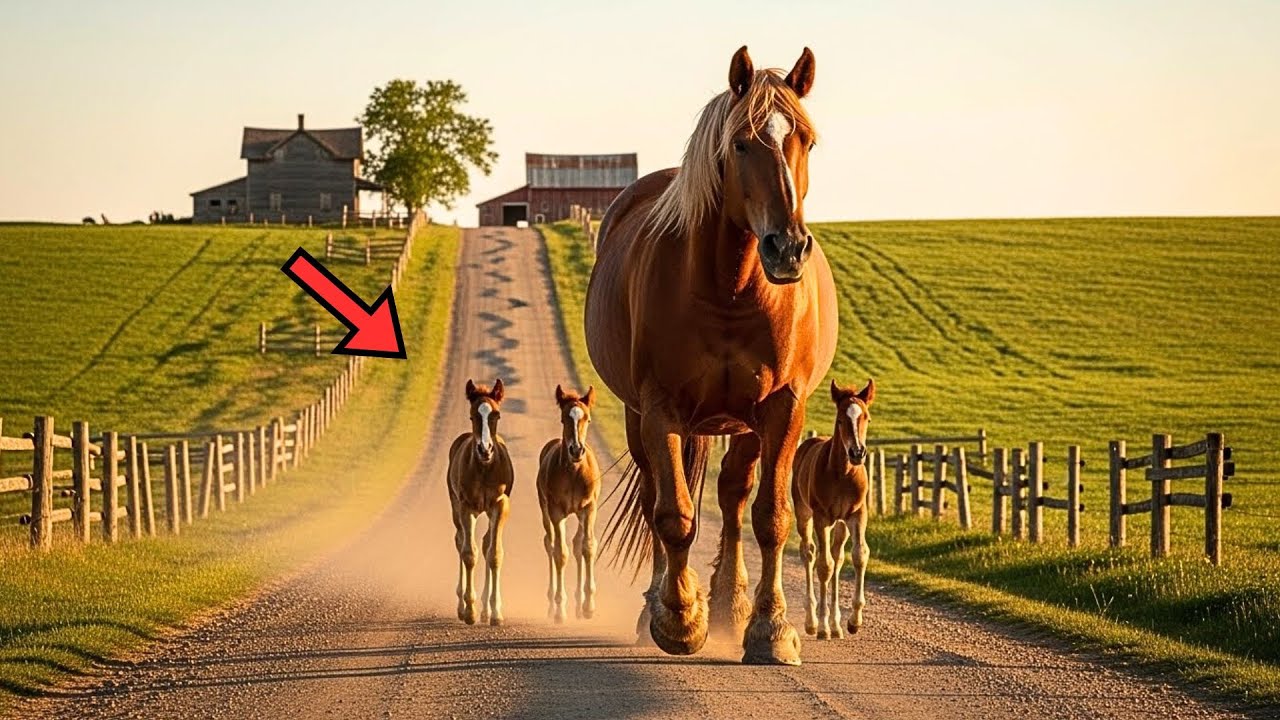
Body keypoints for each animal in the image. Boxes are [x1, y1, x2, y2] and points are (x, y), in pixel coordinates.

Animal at [446, 379, 514, 626]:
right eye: (472, 415)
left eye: (497, 415)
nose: (485, 449)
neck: (485, 469)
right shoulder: (467, 507)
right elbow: (469, 553)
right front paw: (469, 610)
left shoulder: (500, 505)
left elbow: (494, 553)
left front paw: (495, 612)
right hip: (455, 506)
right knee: (460, 541)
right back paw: (463, 604)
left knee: (485, 544)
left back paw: (486, 608)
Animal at [536, 385, 603, 622]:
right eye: (564, 419)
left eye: (588, 419)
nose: (576, 450)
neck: (574, 473)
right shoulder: (556, 512)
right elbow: (559, 553)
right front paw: (559, 608)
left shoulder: (589, 509)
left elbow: (587, 547)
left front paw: (589, 605)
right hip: (545, 510)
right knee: (550, 543)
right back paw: (551, 604)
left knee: (577, 543)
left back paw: (579, 604)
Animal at [587, 46, 838, 665]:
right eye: (741, 143)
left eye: (806, 140)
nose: (787, 248)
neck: (732, 287)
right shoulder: (661, 409)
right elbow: (673, 514)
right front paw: (678, 618)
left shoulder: (782, 407)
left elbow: (769, 517)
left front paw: (770, 628)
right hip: (641, 417)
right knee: (657, 494)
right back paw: (663, 605)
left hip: (744, 424)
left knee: (732, 497)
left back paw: (732, 605)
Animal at [792, 379, 875, 639]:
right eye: (840, 419)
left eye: (867, 418)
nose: (857, 453)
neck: (843, 474)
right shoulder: (821, 518)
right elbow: (823, 565)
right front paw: (821, 626)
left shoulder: (857, 515)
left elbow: (859, 555)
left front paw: (853, 621)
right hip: (804, 513)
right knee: (809, 553)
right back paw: (812, 621)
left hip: (841, 524)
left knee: (838, 556)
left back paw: (837, 624)